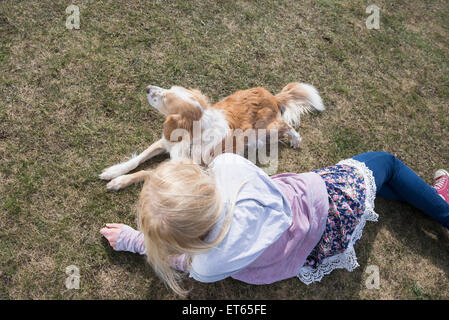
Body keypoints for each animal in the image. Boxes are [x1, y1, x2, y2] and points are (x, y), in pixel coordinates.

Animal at [100, 83, 324, 190]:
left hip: (264, 131)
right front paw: (114, 171)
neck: (193, 136)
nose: (147, 88)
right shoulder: (165, 143)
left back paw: (295, 139)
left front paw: (119, 182)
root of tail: (273, 97)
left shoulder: (192, 168)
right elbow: (137, 160)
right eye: (169, 89)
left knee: (286, 125)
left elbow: (148, 172)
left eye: (165, 99)